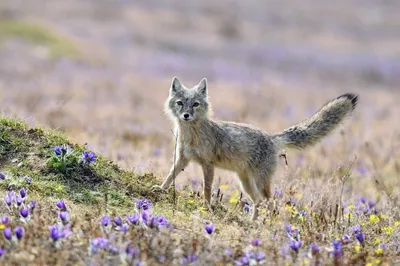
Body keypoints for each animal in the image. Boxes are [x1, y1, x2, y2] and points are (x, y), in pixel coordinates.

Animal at [154, 77, 360, 220]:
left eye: (195, 104)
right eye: (180, 103)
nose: (186, 115)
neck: (191, 134)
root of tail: (272, 137)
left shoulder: (208, 164)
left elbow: (206, 188)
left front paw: (206, 206)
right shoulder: (182, 158)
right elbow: (170, 175)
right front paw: (161, 189)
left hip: (260, 182)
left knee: (271, 202)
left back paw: (267, 224)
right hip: (245, 182)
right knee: (258, 202)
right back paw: (252, 222)